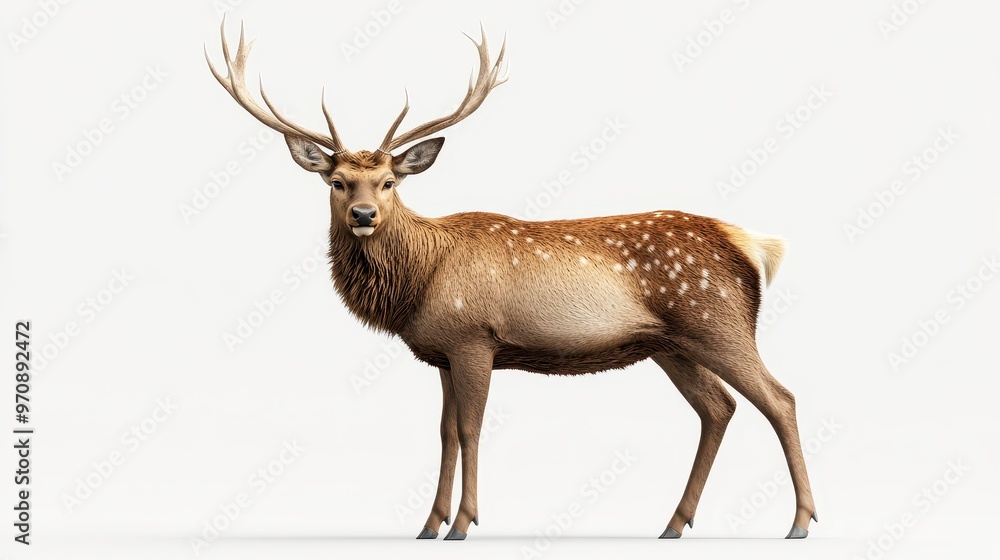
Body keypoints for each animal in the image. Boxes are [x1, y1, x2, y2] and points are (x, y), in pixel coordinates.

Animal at [205, 19, 818, 541]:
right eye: (335, 181)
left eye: (388, 182)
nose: (362, 215)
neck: (418, 283)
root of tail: (753, 244)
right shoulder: (442, 352)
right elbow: (445, 432)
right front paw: (428, 525)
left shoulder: (474, 337)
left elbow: (471, 430)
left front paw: (462, 523)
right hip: (671, 345)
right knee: (718, 408)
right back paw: (673, 523)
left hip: (718, 322)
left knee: (780, 398)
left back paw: (800, 521)